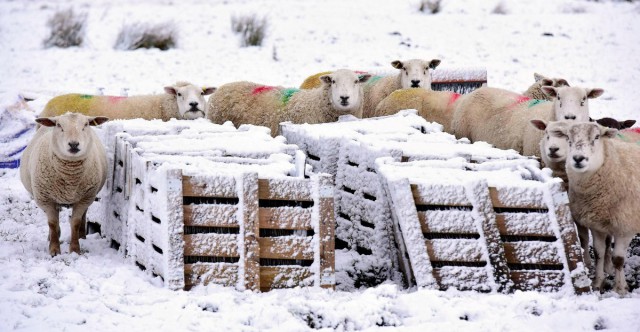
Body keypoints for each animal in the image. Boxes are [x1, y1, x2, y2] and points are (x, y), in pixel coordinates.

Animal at [19, 113, 110, 255]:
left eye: (86, 124)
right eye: (59, 125)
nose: (73, 144)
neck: (70, 180)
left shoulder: (84, 199)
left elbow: (75, 222)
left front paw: (74, 249)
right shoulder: (46, 199)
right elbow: (52, 223)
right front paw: (54, 249)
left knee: (84, 215)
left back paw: (82, 236)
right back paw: (52, 236)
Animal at [556, 122, 640, 294]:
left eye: (596, 137)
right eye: (568, 138)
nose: (578, 158)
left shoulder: (626, 227)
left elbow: (618, 259)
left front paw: (620, 288)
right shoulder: (596, 225)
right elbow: (599, 253)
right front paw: (598, 282)